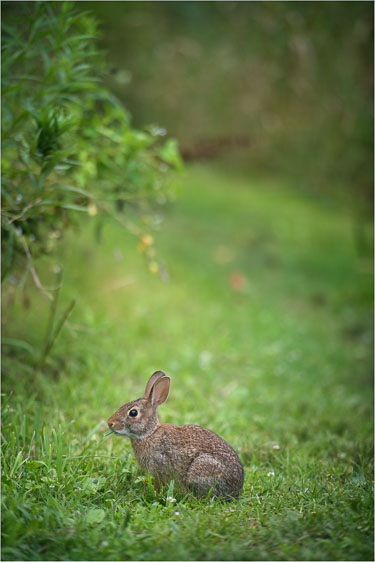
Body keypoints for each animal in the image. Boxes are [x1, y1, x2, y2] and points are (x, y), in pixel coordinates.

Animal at [107, 370, 245, 496]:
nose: (110, 423)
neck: (149, 433)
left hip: (201, 469)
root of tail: (236, 489)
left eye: (133, 413)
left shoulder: (158, 466)